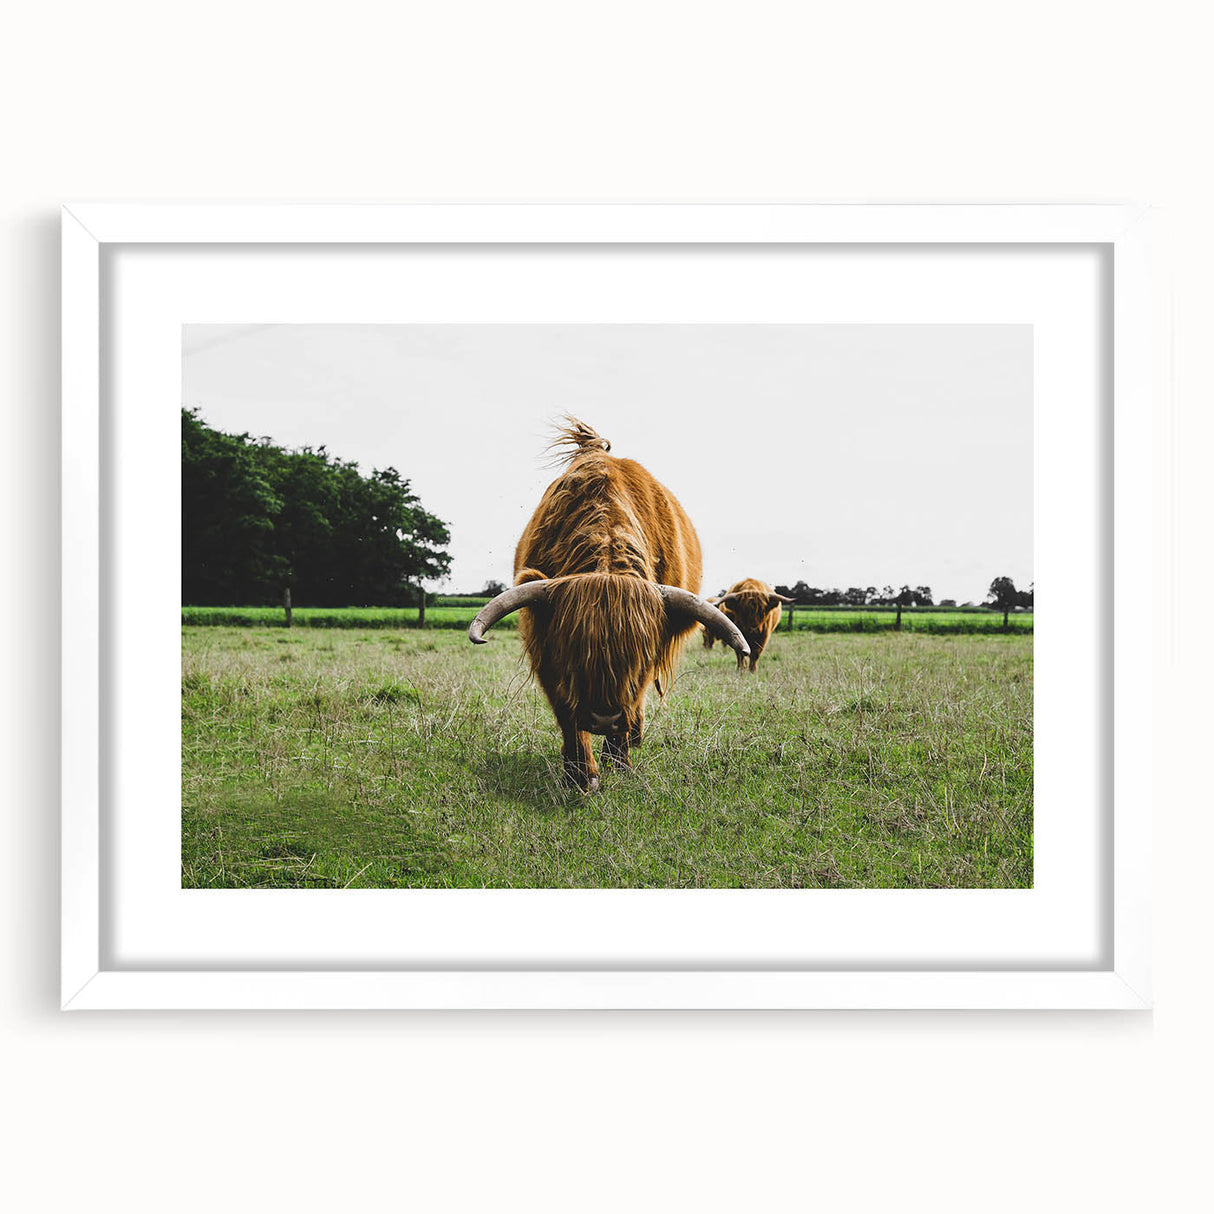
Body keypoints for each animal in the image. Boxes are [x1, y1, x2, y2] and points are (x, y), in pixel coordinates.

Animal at [468, 418, 750, 791]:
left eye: (641, 658)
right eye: (572, 652)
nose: (604, 718)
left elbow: (633, 703)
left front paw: (619, 761)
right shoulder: (546, 653)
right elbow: (568, 715)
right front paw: (580, 774)